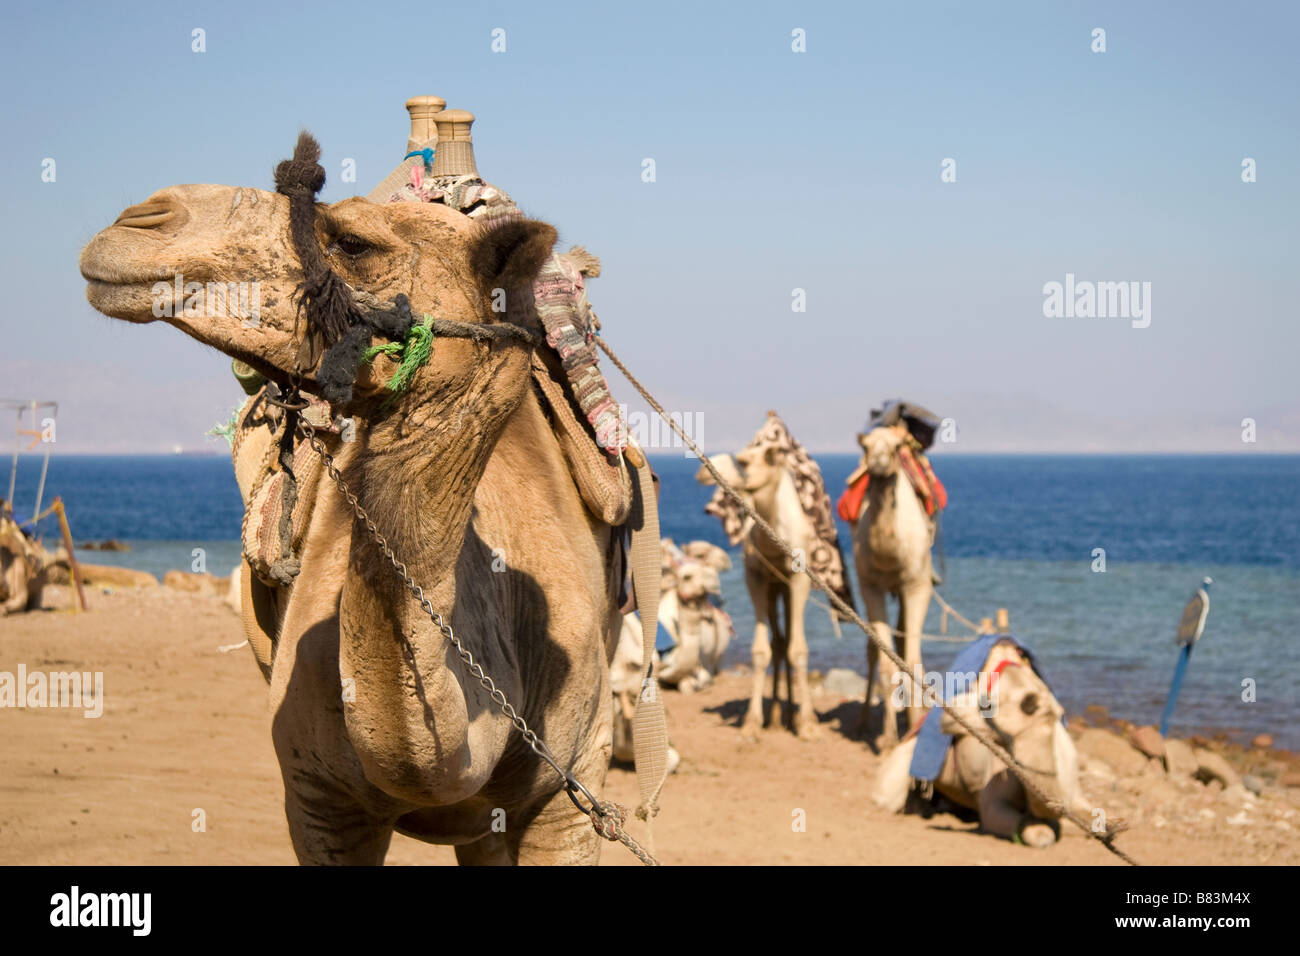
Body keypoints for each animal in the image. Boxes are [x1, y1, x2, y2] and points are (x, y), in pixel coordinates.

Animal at [847, 424, 941, 749]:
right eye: (865, 447)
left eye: (896, 447)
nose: (877, 462)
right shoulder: (870, 585)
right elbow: (887, 659)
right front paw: (887, 739)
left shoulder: (916, 584)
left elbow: (911, 659)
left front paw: (912, 726)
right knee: (874, 650)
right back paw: (863, 723)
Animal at [868, 639, 1092, 848]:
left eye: (987, 705)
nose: (948, 715)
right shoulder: (991, 800)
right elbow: (1040, 834)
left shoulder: (1074, 793)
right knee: (885, 798)